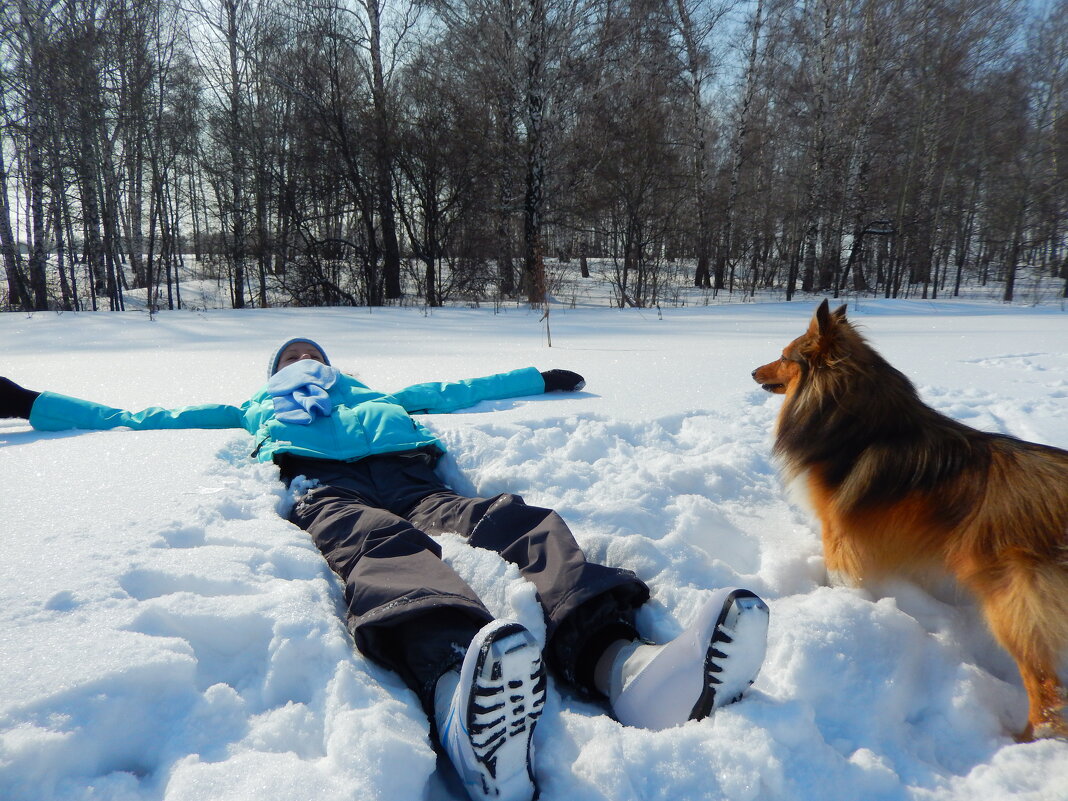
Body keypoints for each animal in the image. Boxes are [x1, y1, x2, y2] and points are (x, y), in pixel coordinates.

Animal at [751, 301, 1068, 739]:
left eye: (784, 357)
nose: (753, 373)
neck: (849, 418)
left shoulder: (840, 533)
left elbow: (841, 574)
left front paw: (839, 601)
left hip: (1013, 605)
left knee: (1046, 689)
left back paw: (1020, 739)